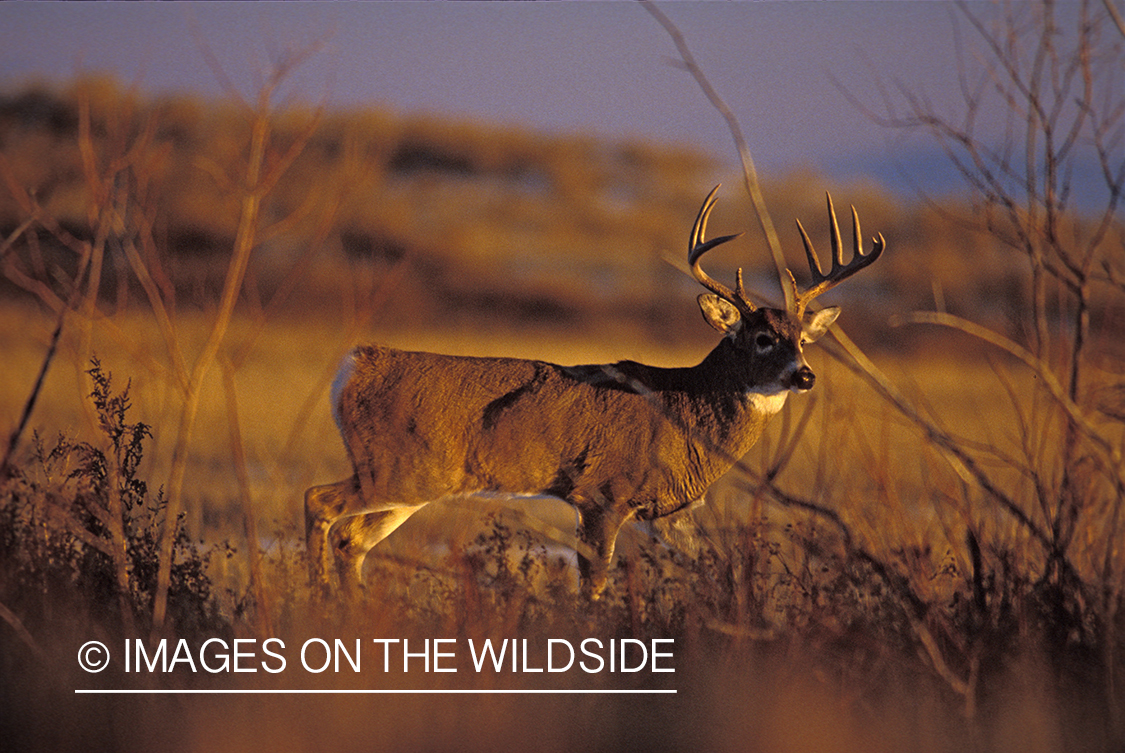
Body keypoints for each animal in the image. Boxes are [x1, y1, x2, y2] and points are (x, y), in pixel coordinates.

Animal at [303, 187, 882, 598]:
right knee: (319, 502)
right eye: (762, 338)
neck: (684, 410)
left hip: (413, 480)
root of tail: (355, 366)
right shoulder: (602, 492)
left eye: (803, 339)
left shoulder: (673, 511)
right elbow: (595, 585)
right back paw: (319, 602)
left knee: (350, 538)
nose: (804, 376)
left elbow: (708, 571)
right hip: (398, 467)